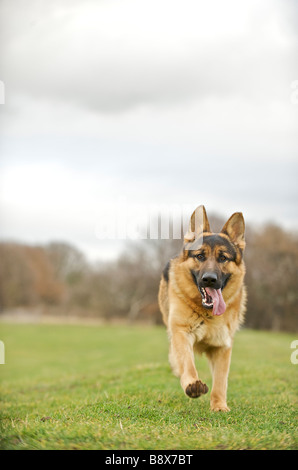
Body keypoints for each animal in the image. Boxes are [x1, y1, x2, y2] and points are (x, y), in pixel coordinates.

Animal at [158, 206, 247, 412]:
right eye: (200, 256)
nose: (209, 279)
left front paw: (219, 405)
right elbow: (187, 363)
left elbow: (221, 380)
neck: (207, 313)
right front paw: (192, 384)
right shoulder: (182, 332)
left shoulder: (222, 347)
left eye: (223, 258)